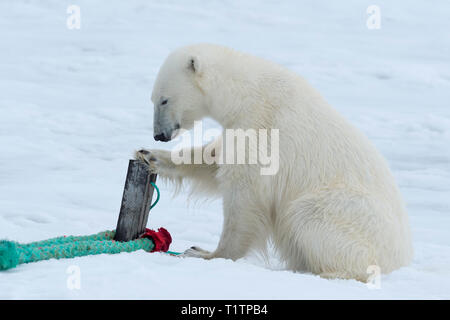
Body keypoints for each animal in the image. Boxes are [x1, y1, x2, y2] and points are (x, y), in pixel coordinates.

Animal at [135, 43, 414, 282]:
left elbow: (244, 194)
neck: (246, 93)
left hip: (347, 213)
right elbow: (213, 161)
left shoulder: (261, 126)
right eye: (153, 99)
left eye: (164, 99)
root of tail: (401, 259)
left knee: (308, 215)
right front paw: (150, 155)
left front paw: (204, 253)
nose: (159, 135)